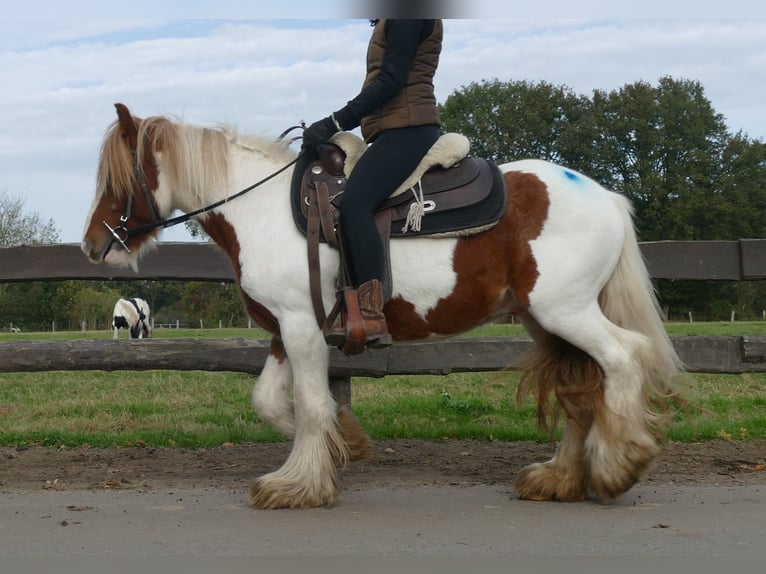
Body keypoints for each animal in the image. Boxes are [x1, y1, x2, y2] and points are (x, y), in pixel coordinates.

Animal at [82, 103, 684, 508]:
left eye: (118, 177)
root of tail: (605, 196)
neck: (261, 209)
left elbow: (311, 404)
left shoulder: (301, 326)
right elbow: (274, 403)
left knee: (624, 359)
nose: (92, 245)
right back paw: (559, 478)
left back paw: (617, 466)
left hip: (566, 312)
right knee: (580, 386)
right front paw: (346, 444)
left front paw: (298, 485)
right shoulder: (283, 331)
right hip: (545, 320)